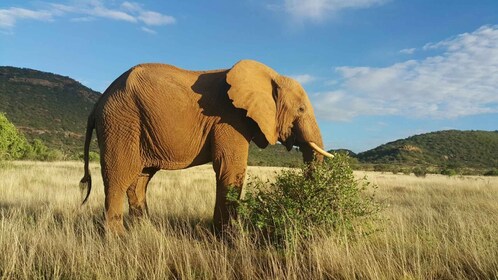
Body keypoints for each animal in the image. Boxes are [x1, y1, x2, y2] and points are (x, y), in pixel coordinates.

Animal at [80, 59, 332, 234]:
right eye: (301, 109)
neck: (270, 75)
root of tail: (98, 102)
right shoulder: (228, 119)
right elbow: (231, 169)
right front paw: (229, 238)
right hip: (121, 123)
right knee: (118, 178)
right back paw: (117, 239)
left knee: (140, 180)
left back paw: (144, 230)